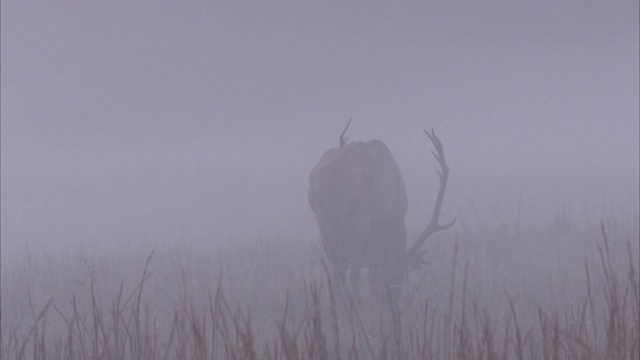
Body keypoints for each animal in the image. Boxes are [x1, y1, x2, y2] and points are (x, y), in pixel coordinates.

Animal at [308, 121, 456, 298]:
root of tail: (332, 172)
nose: (395, 297)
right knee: (353, 269)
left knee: (337, 268)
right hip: (359, 216)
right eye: (399, 272)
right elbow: (372, 272)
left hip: (323, 219)